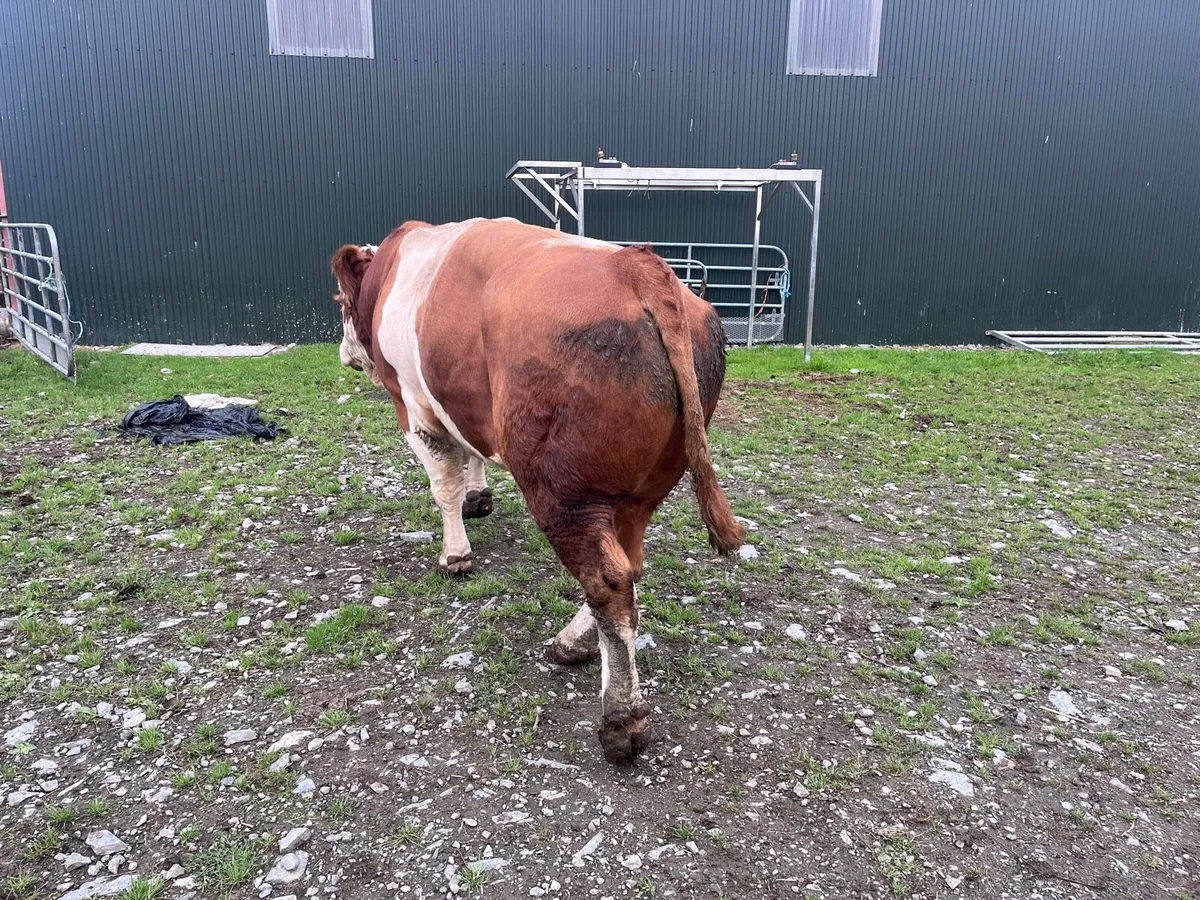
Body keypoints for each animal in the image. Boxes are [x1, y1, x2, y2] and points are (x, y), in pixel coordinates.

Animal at [329, 218, 743, 763]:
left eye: (339, 300)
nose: (343, 353)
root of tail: (634, 265)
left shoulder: (414, 405)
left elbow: (443, 483)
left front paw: (455, 554)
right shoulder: (462, 403)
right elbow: (471, 454)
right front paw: (478, 498)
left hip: (562, 492)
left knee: (609, 582)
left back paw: (621, 720)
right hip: (643, 489)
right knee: (629, 564)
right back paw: (573, 642)